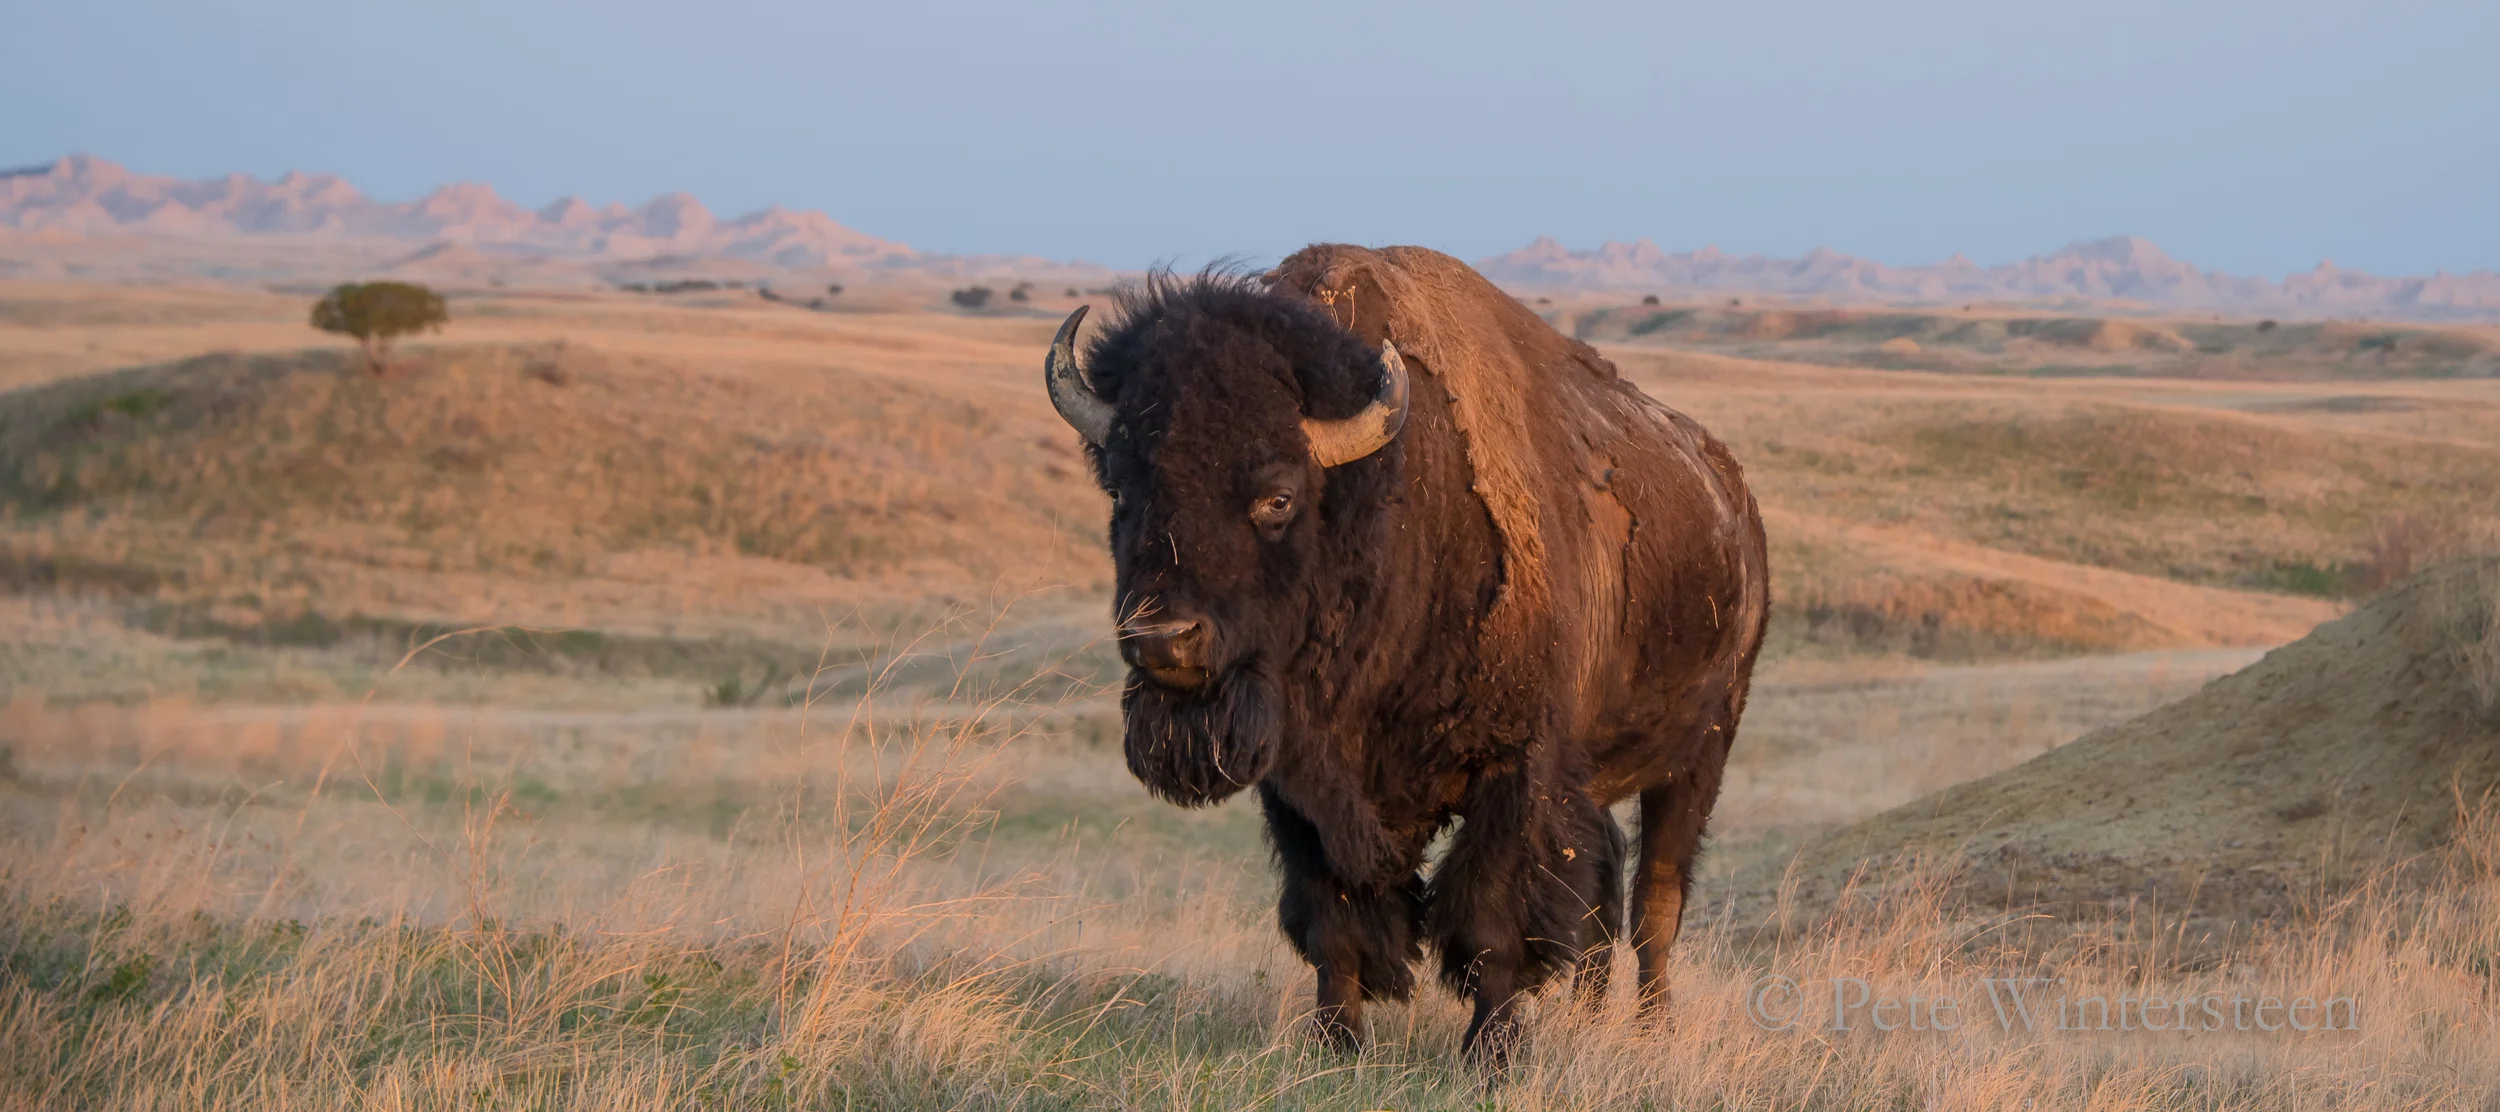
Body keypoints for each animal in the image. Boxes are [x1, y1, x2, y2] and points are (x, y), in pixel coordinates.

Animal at [1043, 245, 1769, 1062]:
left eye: (1277, 497)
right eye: (1120, 489)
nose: (1164, 638)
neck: (1390, 502)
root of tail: (1737, 506)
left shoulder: (1517, 771)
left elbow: (1491, 922)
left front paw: (1492, 1055)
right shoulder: (1305, 789)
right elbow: (1335, 921)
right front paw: (1337, 1046)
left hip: (1701, 752)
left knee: (1656, 902)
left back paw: (1650, 1029)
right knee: (1608, 878)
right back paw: (1589, 1017)